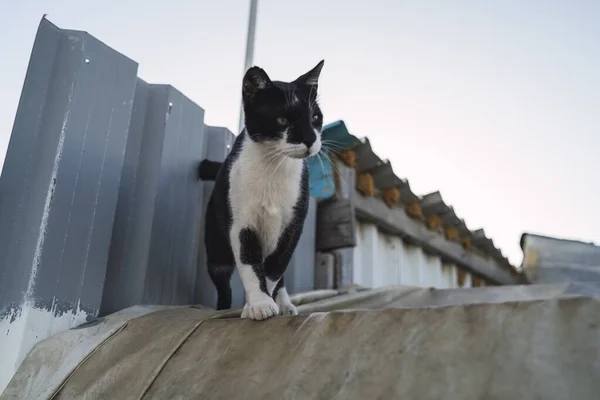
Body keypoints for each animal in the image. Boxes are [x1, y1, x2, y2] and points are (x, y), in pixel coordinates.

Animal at [203, 60, 326, 322]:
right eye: (283, 120)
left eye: (315, 117)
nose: (310, 139)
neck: (274, 166)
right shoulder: (241, 222)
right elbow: (249, 263)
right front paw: (259, 304)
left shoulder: (294, 226)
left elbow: (273, 270)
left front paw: (263, 302)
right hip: (215, 238)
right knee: (221, 277)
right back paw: (224, 308)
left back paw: (285, 303)